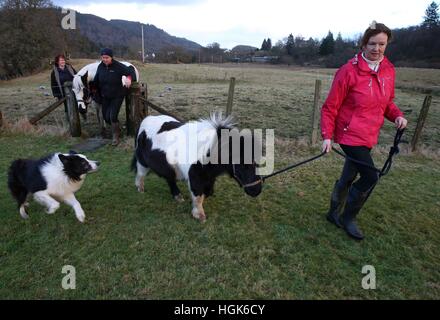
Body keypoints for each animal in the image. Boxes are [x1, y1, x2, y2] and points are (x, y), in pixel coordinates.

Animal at [132, 114, 262, 221]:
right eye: (243, 164)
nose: (256, 191)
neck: (207, 151)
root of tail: (145, 119)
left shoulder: (209, 177)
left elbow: (207, 192)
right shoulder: (194, 176)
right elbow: (198, 195)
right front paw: (199, 215)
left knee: (170, 178)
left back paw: (177, 196)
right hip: (142, 162)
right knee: (141, 174)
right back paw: (140, 189)